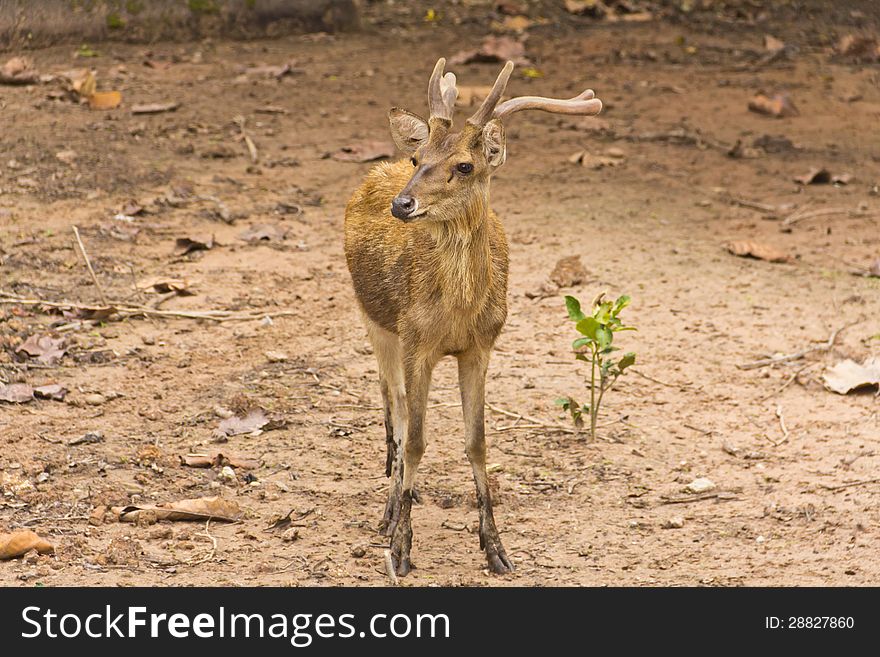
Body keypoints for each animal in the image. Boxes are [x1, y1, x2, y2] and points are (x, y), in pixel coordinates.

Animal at [340, 57, 600, 576]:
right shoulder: (415, 339)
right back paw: (390, 509)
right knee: (395, 407)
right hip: (374, 320)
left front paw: (496, 548)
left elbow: (477, 442)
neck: (457, 314)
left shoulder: (482, 346)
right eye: (420, 161)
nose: (402, 203)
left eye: (465, 165)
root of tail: (380, 168)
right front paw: (401, 548)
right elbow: (416, 439)